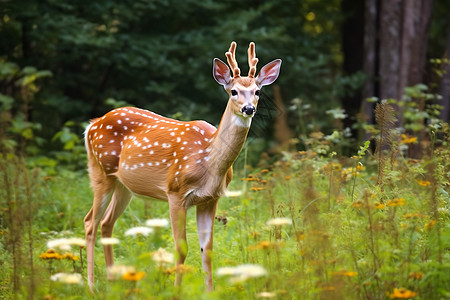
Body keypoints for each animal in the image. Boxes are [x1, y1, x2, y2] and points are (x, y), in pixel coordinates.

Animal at [83, 41, 282, 292]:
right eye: (234, 91)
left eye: (257, 91)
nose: (249, 109)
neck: (209, 162)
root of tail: (91, 125)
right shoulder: (175, 192)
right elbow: (181, 248)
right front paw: (176, 290)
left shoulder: (210, 199)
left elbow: (207, 250)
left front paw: (210, 292)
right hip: (101, 172)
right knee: (90, 222)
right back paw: (91, 287)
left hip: (124, 186)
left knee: (107, 223)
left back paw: (114, 282)